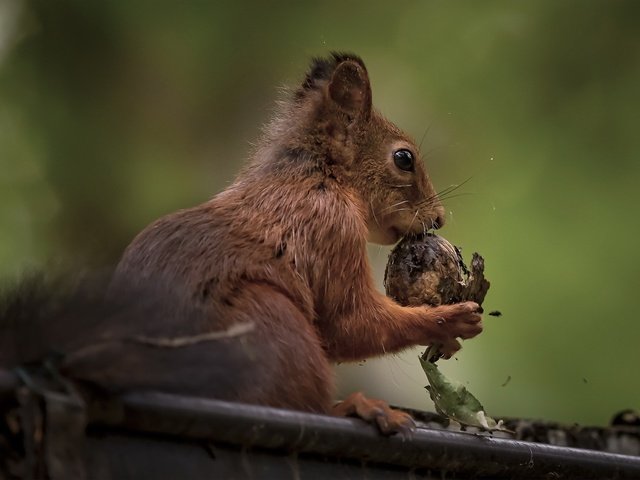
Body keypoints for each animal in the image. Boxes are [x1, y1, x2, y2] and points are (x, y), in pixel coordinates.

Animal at [0, 53, 482, 436]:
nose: (438, 218)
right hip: (273, 322)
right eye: (403, 158)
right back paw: (355, 408)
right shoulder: (330, 227)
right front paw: (450, 321)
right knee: (296, 403)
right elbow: (349, 324)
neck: (319, 177)